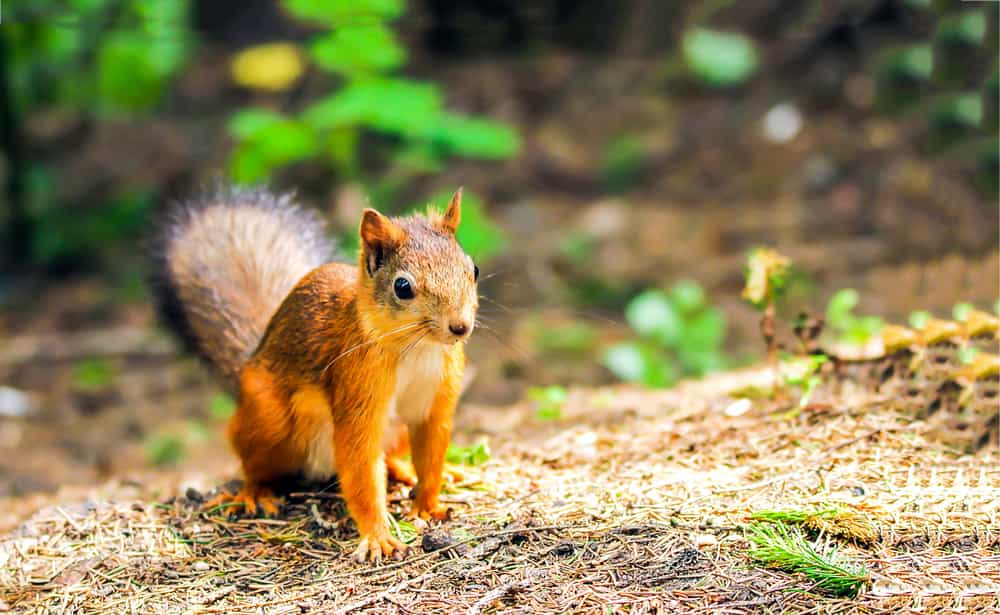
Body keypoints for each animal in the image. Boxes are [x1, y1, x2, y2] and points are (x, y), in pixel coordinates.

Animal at [152, 185, 478, 562]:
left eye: (473, 269)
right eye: (403, 287)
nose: (459, 327)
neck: (418, 349)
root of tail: (250, 362)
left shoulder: (436, 403)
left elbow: (431, 453)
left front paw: (427, 504)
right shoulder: (356, 387)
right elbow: (360, 464)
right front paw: (378, 535)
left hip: (393, 433)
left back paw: (405, 470)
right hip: (269, 419)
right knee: (252, 460)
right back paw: (254, 492)